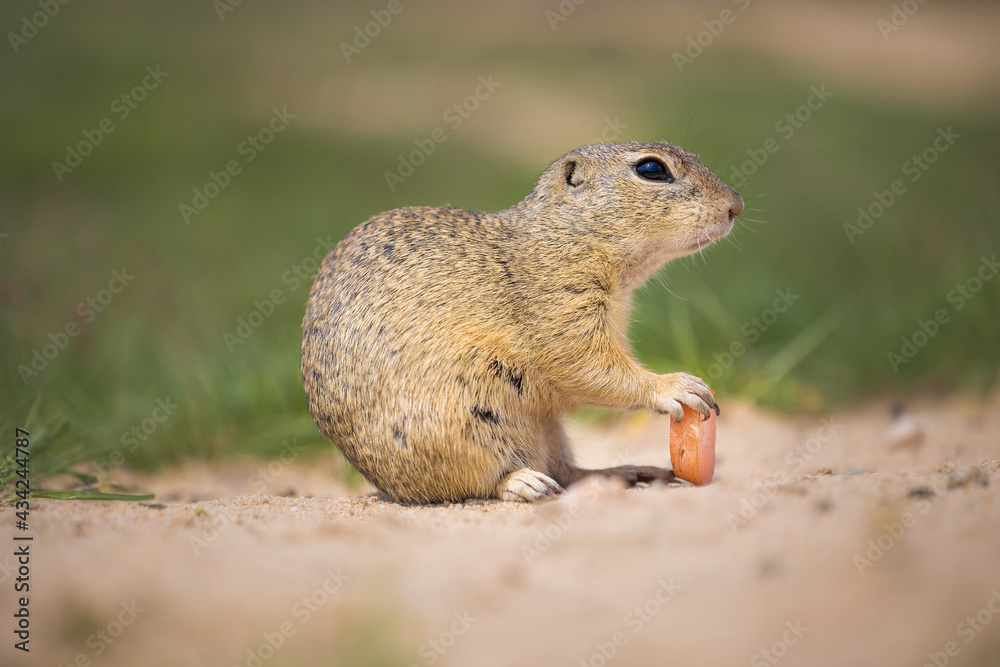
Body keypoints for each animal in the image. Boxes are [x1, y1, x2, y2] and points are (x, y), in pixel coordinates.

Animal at [301, 141, 743, 504]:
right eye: (651, 169)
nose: (736, 205)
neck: (564, 236)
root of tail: (388, 487)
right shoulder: (560, 309)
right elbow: (590, 368)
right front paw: (675, 386)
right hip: (466, 427)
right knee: (476, 483)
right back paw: (523, 482)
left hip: (549, 428)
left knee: (568, 471)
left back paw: (627, 472)